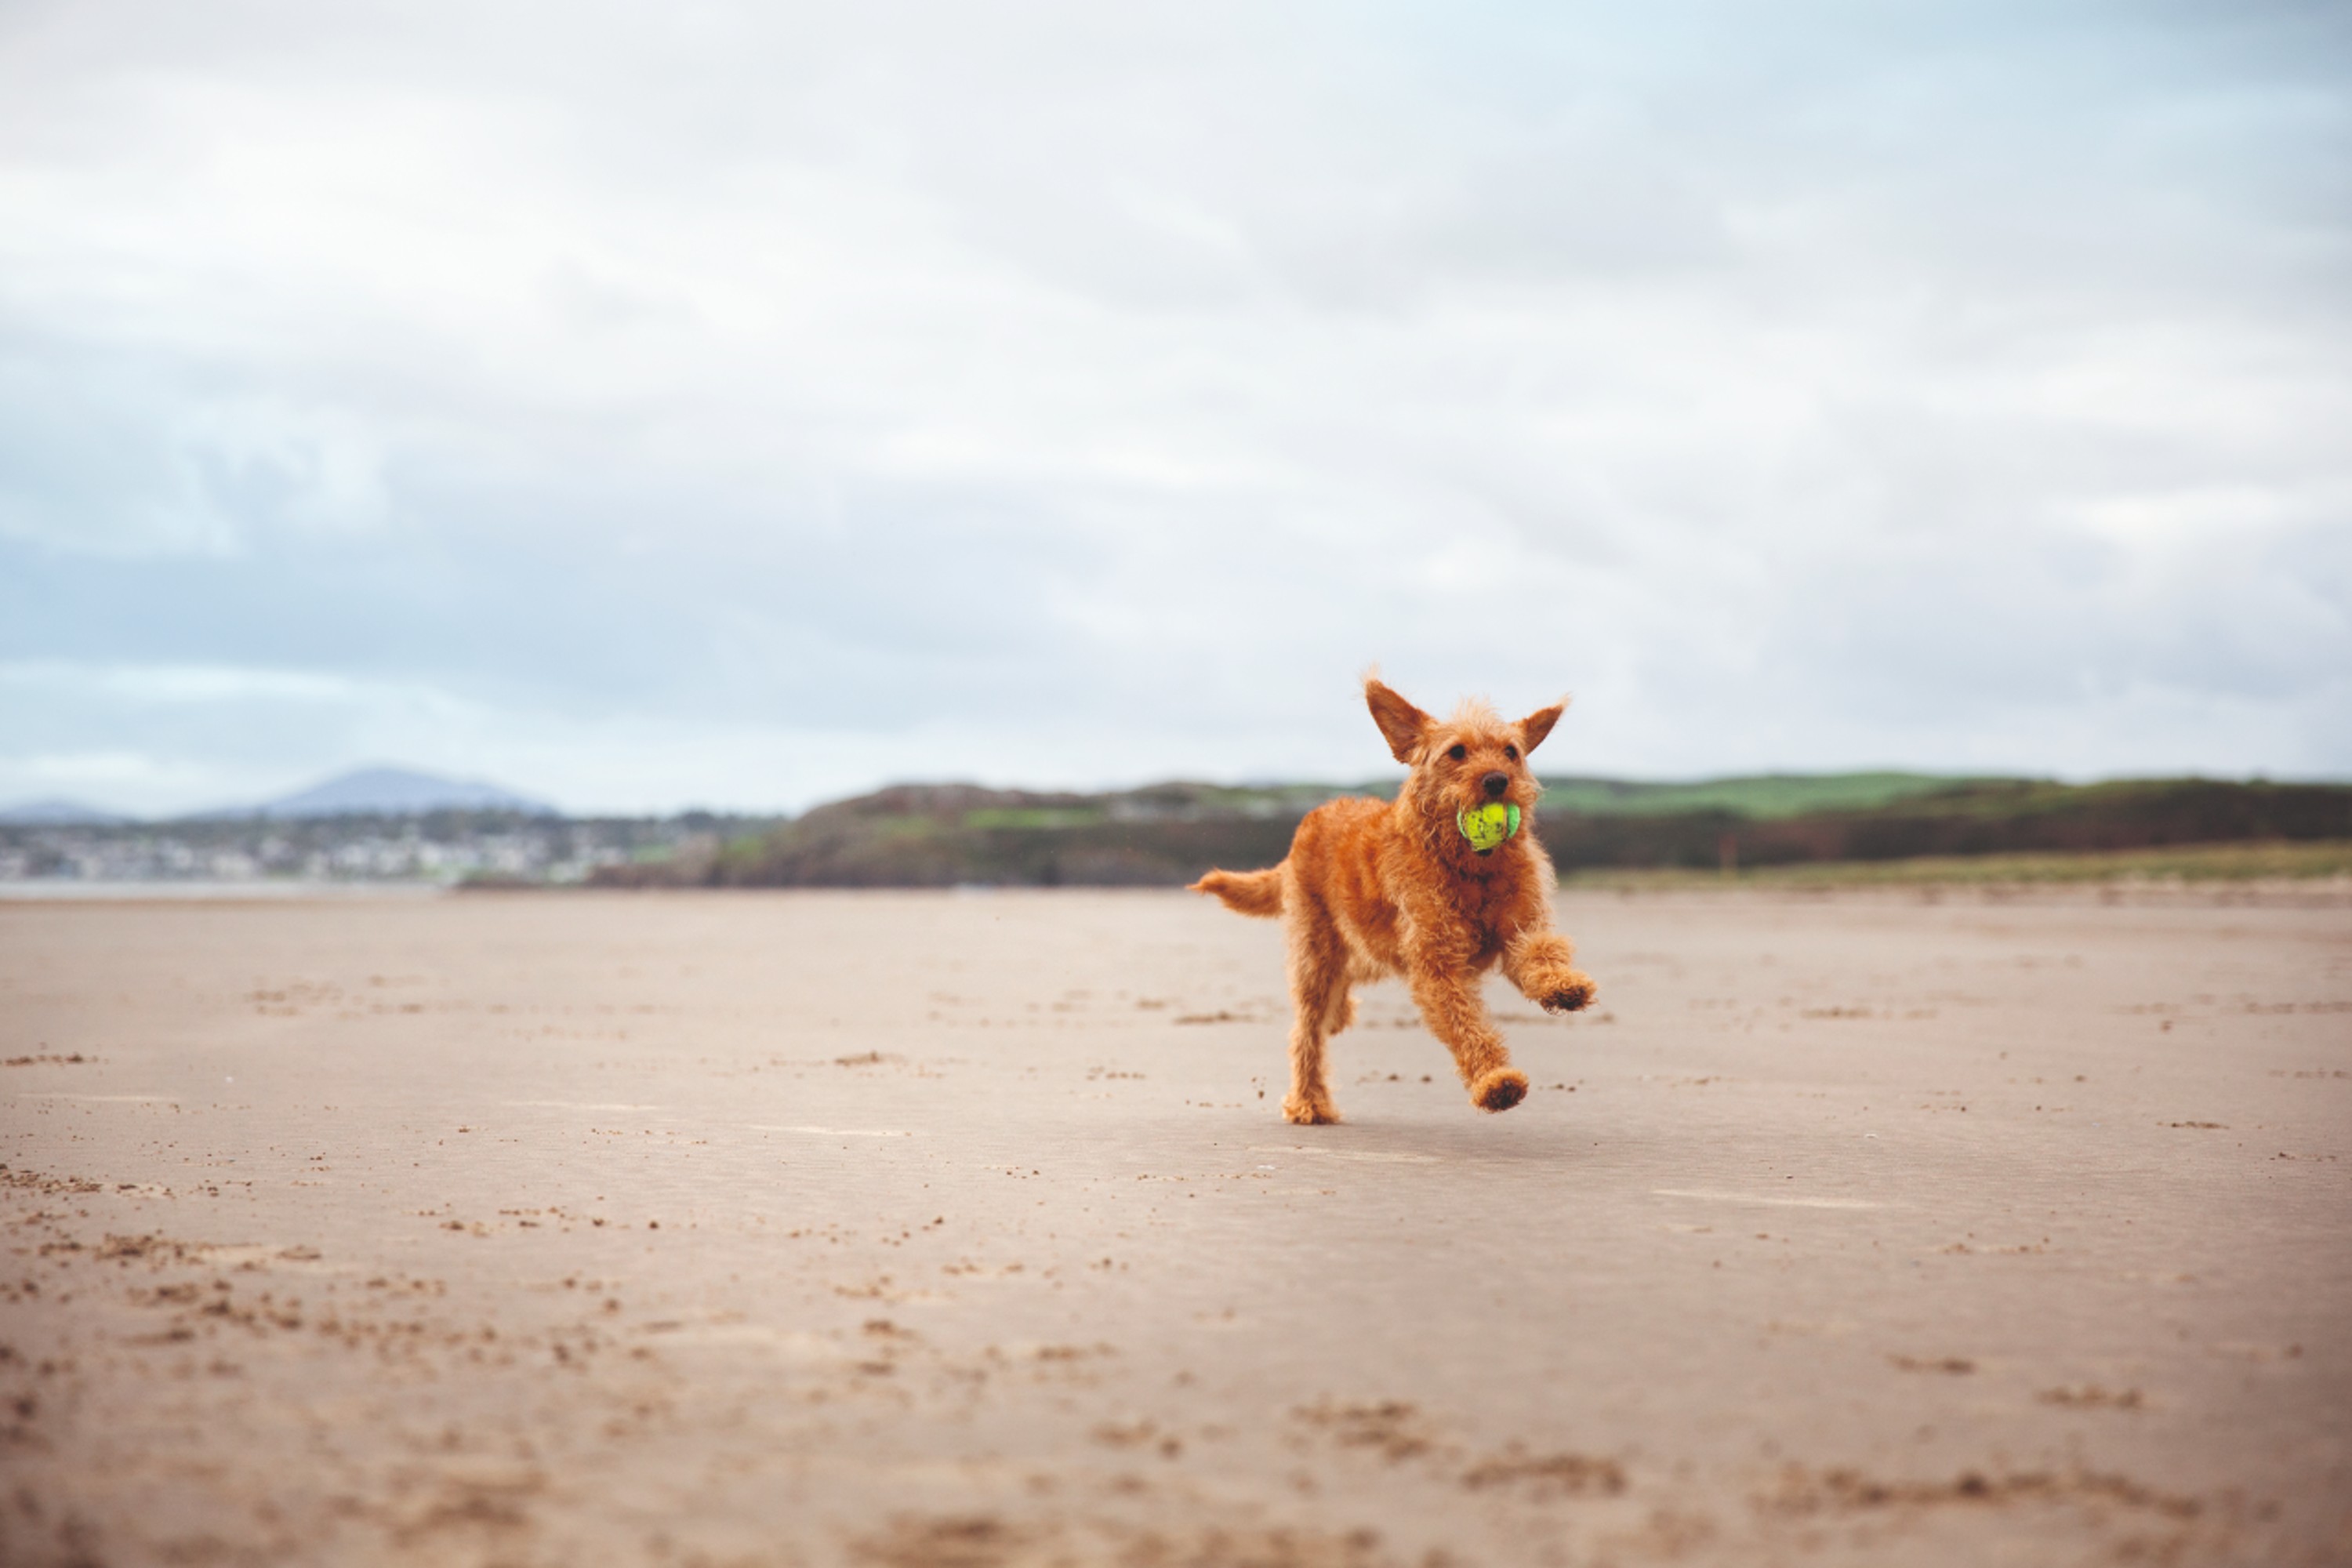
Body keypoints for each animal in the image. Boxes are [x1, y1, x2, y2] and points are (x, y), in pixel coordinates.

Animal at [1195, 681, 1599, 1123]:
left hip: (1366, 946)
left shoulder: (1520, 928)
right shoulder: (1435, 963)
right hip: (1316, 953)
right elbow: (1463, 1021)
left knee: (1343, 984)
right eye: (1457, 751)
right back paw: (1309, 1101)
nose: (1497, 780)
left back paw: (1340, 1016)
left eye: (1511, 751)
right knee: (1306, 1032)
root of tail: (1307, 825)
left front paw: (1563, 986)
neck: (1469, 868)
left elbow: (1541, 952)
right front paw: (1495, 1080)